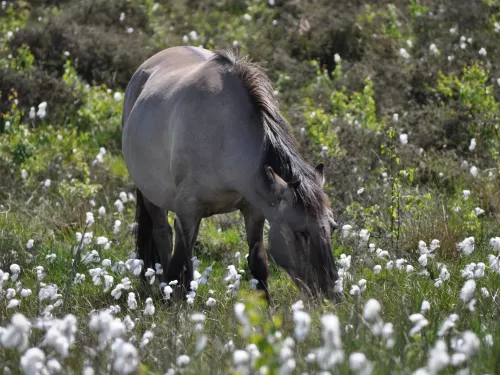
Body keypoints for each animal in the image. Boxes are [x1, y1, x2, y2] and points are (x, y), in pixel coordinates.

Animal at [121, 46, 340, 302]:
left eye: (332, 227)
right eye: (301, 232)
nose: (331, 295)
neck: (224, 137)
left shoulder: (254, 210)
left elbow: (258, 263)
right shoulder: (187, 212)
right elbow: (178, 263)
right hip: (151, 195)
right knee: (163, 235)